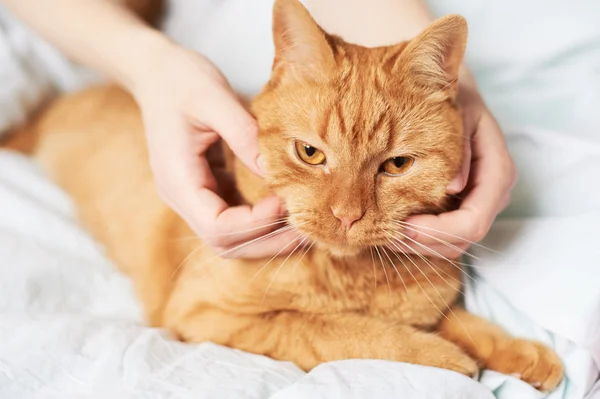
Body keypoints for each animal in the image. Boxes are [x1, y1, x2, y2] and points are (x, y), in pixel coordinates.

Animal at [3, 0, 564, 394]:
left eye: (397, 165)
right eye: (311, 153)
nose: (347, 215)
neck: (349, 277)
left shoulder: (426, 299)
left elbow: (464, 323)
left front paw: (524, 352)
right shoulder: (203, 316)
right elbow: (343, 331)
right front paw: (445, 359)